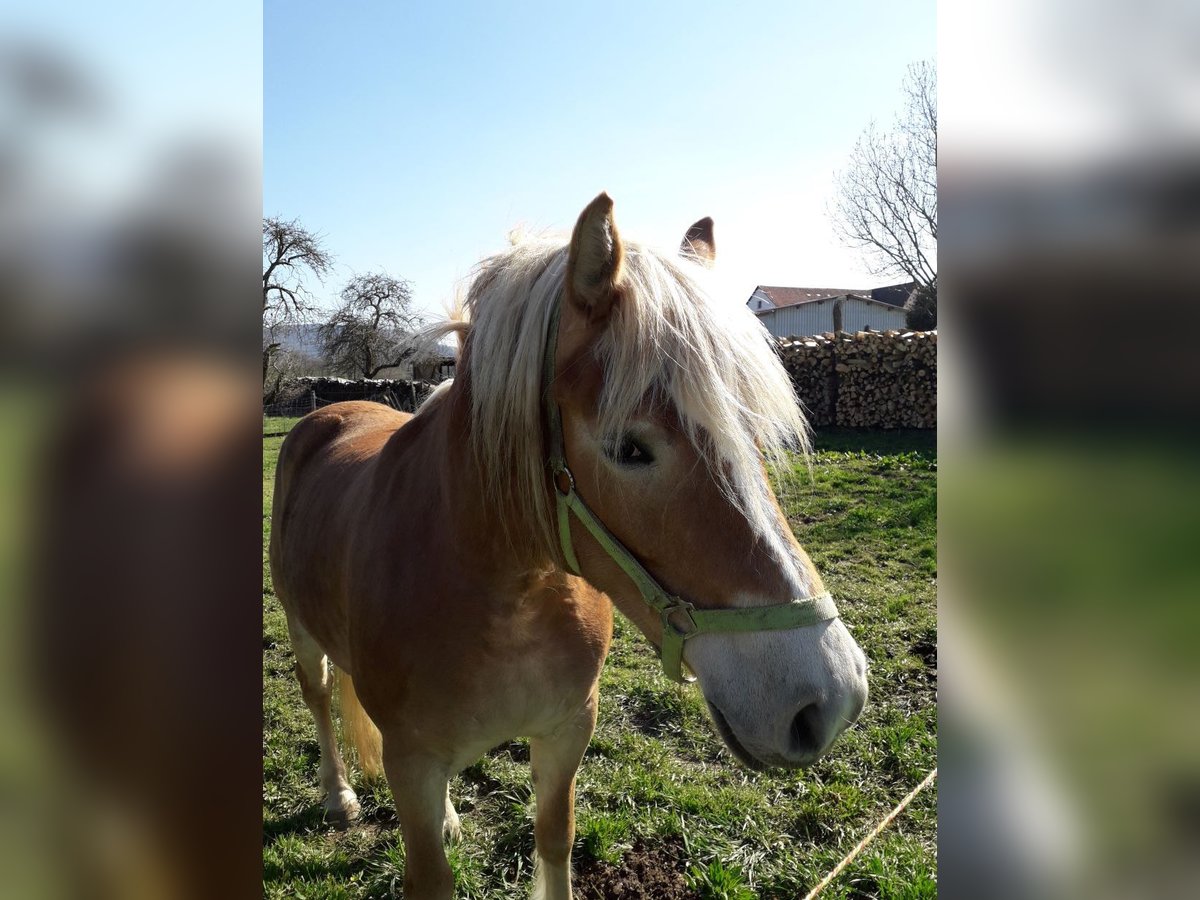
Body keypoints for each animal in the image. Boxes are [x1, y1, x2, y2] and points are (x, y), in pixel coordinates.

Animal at [270, 195, 873, 900]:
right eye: (627, 447)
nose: (830, 700)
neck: (503, 597)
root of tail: (326, 416)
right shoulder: (412, 762)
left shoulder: (566, 732)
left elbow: (554, 838)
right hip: (301, 631)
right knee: (317, 695)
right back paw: (338, 795)